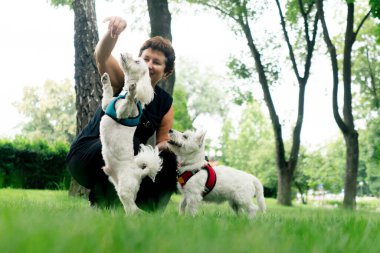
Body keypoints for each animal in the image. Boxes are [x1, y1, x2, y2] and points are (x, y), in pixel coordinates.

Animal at [98, 52, 163, 213]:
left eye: (137, 61)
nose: (124, 53)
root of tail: (140, 173)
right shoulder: (106, 105)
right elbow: (107, 93)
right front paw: (106, 80)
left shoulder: (123, 113)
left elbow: (128, 102)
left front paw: (132, 92)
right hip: (118, 186)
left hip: (125, 188)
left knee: (133, 208)